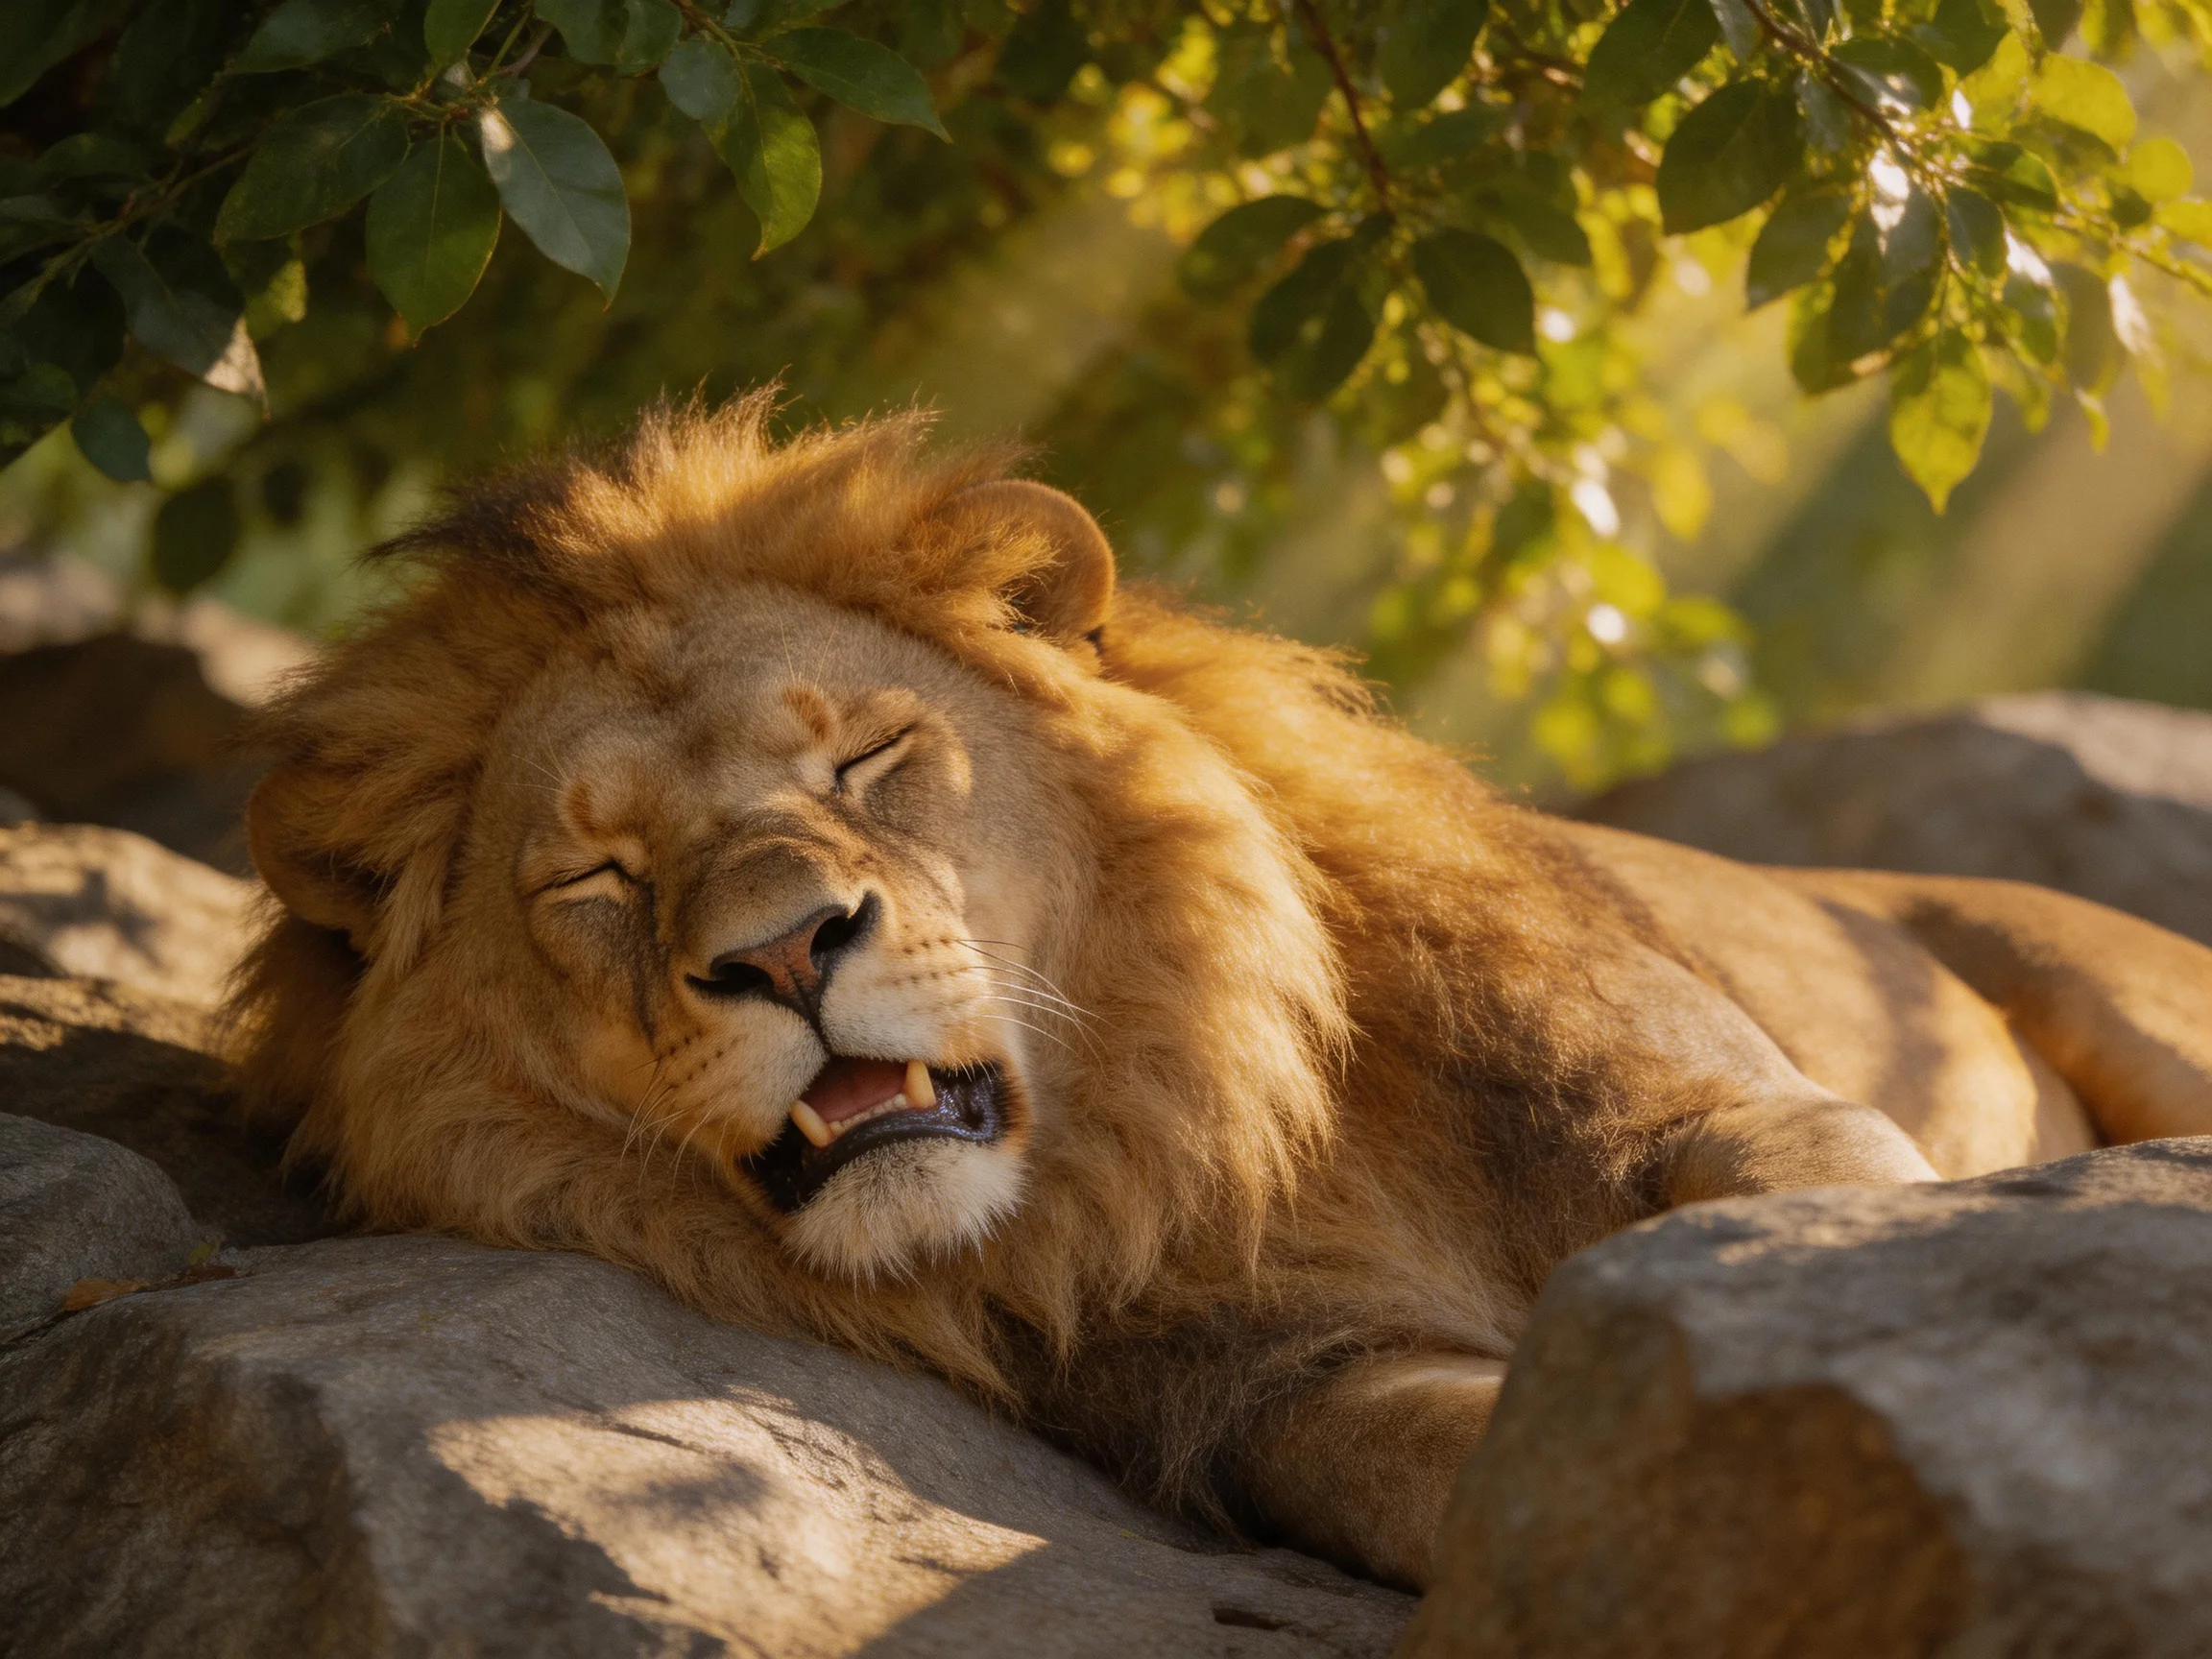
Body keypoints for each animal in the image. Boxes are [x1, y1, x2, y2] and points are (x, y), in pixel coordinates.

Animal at [231, 395, 2212, 1591]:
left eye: (866, 757)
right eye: (597, 879)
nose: (785, 947)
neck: (1206, 1110)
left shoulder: (1734, 1113)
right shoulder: (1273, 1387)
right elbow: (1466, 1462)